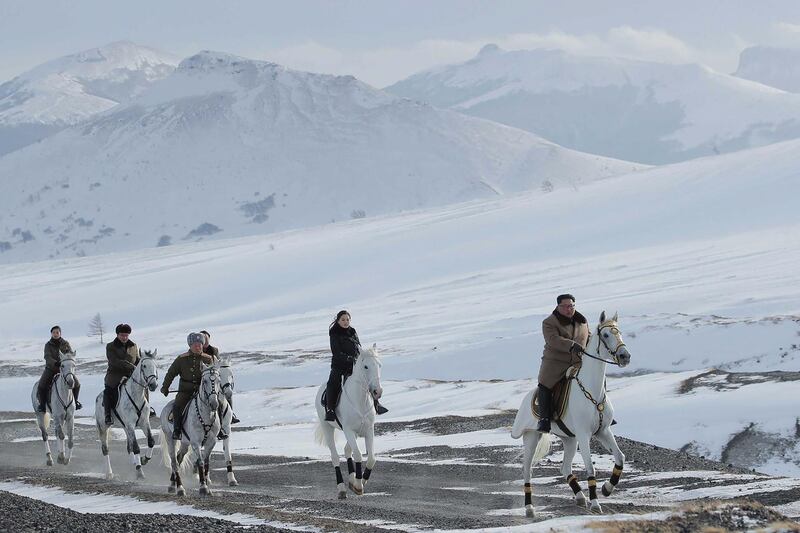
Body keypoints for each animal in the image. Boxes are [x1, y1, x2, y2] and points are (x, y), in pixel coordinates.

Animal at [94, 348, 159, 480]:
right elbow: (136, 447)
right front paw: (140, 473)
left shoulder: (144, 422)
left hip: (125, 427)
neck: (136, 395)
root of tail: (98, 398)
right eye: (144, 366)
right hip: (103, 427)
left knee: (129, 447)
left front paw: (144, 460)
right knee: (105, 449)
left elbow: (151, 442)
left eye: (155, 365)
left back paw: (135, 463)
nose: (153, 385)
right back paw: (109, 473)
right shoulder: (130, 425)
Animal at [159, 364, 222, 496]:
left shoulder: (211, 442)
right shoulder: (195, 443)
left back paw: (172, 484)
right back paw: (180, 488)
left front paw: (207, 486)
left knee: (179, 458)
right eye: (205, 381)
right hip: (170, 439)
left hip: (184, 442)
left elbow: (206, 463)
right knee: (174, 462)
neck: (206, 415)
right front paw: (203, 487)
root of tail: (165, 408)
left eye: (219, 381)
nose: (214, 404)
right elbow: (200, 462)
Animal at [314, 342, 382, 496]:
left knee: (346, 450)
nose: (377, 392)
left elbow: (371, 458)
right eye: (366, 366)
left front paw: (362, 480)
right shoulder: (348, 430)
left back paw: (351, 479)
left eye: (379, 365)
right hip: (328, 428)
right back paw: (341, 488)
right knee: (335, 456)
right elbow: (358, 455)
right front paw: (358, 485)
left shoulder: (368, 430)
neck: (360, 400)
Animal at [512, 312, 632, 516]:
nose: (624, 356)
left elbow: (620, 458)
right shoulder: (584, 435)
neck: (593, 391)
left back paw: (580, 496)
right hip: (531, 437)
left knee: (564, 467)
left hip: (569, 439)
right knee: (527, 470)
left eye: (620, 332)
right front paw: (596, 503)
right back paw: (529, 508)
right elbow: (590, 468)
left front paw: (607, 489)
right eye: (606, 334)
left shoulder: (603, 431)